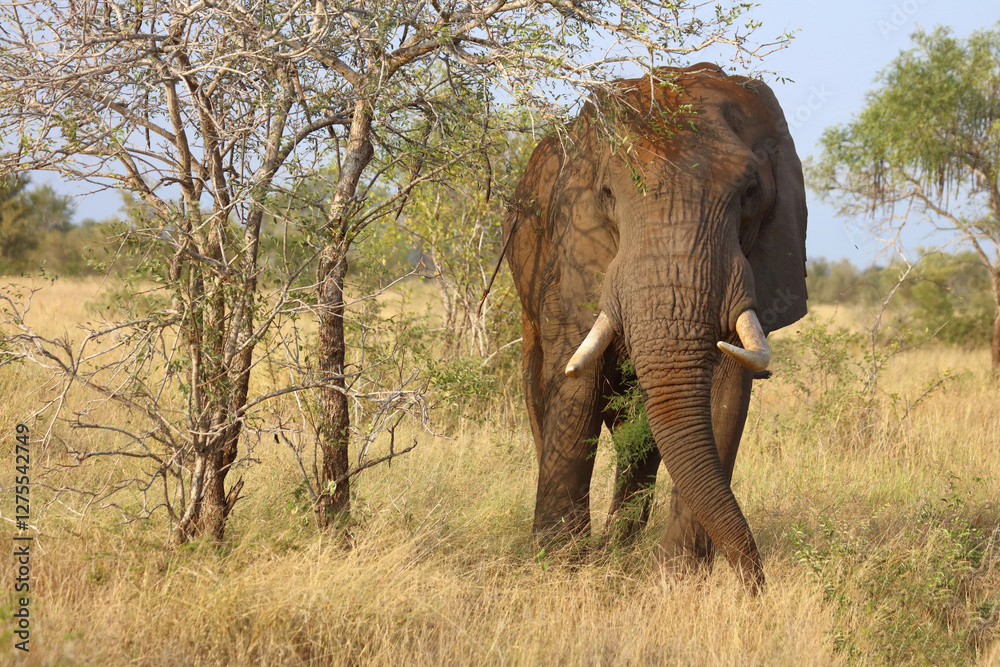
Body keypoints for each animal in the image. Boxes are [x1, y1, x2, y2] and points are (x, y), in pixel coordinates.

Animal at [503, 63, 807, 592]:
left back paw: (619, 551)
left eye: (750, 192)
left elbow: (725, 395)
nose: (757, 589)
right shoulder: (572, 245)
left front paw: (677, 581)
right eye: (608, 194)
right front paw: (557, 566)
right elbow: (575, 379)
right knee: (540, 387)